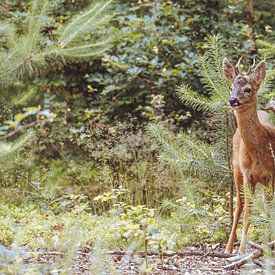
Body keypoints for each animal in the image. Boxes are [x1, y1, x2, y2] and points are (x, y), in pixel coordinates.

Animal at [223, 57, 274, 254]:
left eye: (248, 89)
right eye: (231, 87)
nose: (233, 100)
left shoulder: (271, 175)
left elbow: (269, 210)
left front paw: (268, 245)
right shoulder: (247, 174)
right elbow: (248, 212)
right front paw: (242, 250)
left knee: (265, 204)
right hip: (236, 169)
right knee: (239, 205)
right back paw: (229, 247)